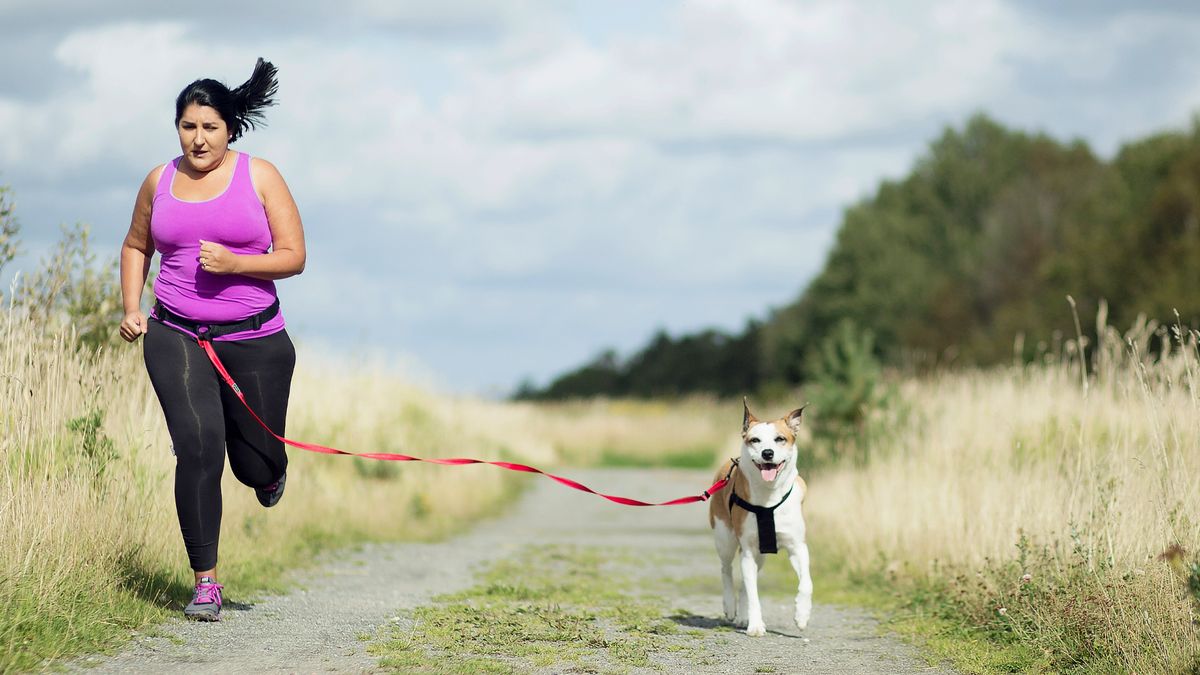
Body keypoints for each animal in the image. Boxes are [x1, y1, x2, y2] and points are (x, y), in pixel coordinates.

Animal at [705, 398, 811, 634]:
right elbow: (753, 594)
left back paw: (743, 616)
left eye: (780, 439)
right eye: (755, 440)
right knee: (727, 569)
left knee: (746, 582)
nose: (767, 453)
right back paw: (731, 607)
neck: (769, 496)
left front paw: (801, 615)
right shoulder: (746, 548)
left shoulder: (797, 546)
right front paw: (755, 625)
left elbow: (806, 583)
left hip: (760, 554)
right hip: (725, 537)